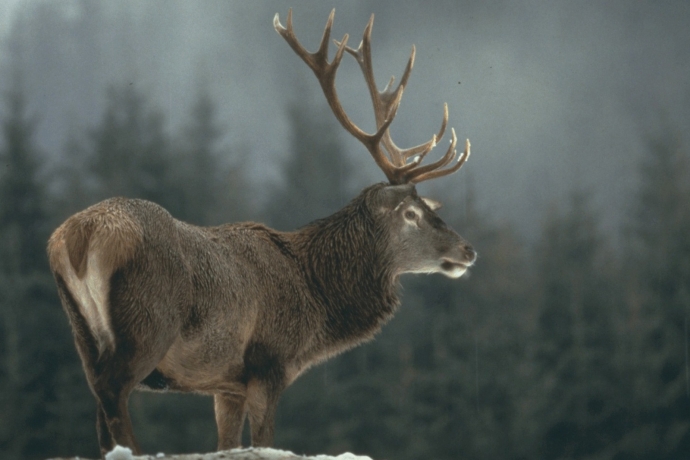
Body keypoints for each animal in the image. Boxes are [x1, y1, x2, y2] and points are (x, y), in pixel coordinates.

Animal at [47, 9, 476, 458]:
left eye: (429, 208)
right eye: (411, 213)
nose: (467, 250)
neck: (316, 298)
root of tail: (78, 237)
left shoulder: (226, 385)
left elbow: (227, 443)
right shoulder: (269, 363)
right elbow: (265, 438)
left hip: (82, 332)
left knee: (98, 397)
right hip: (146, 322)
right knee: (113, 393)